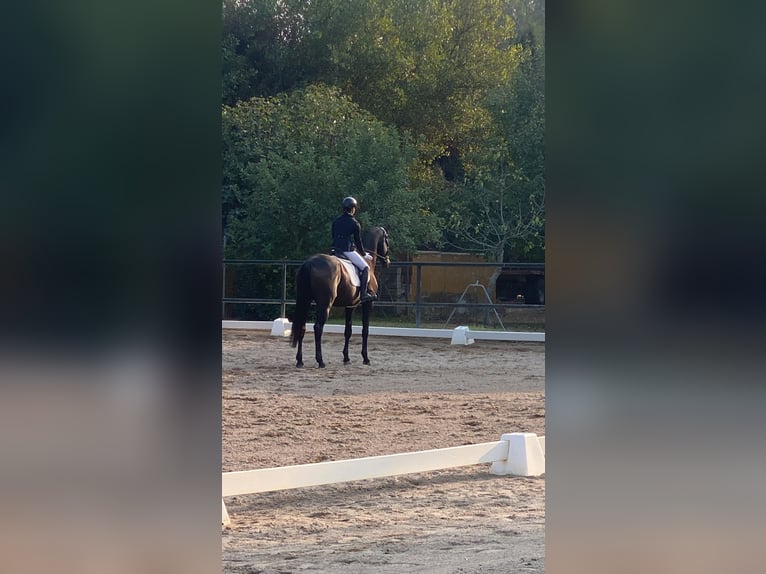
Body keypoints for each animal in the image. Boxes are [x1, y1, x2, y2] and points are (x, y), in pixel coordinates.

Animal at [292, 226, 392, 368]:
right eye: (387, 240)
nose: (387, 261)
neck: (368, 261)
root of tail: (309, 263)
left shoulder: (350, 305)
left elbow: (348, 331)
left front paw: (346, 358)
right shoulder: (368, 303)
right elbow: (365, 330)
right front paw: (366, 358)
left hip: (305, 301)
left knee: (302, 326)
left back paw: (300, 361)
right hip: (325, 304)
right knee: (318, 328)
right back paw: (320, 361)